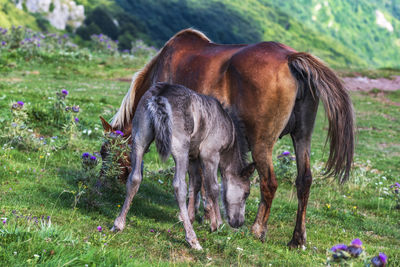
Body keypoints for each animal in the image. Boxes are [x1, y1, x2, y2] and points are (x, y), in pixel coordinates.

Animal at [111, 83, 255, 251]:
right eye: (246, 193)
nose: (238, 222)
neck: (227, 127)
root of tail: (160, 95)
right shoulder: (210, 154)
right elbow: (212, 188)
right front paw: (217, 224)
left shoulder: (193, 157)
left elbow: (196, 183)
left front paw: (191, 217)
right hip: (180, 148)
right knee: (179, 186)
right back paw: (192, 239)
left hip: (139, 140)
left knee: (134, 178)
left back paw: (119, 223)